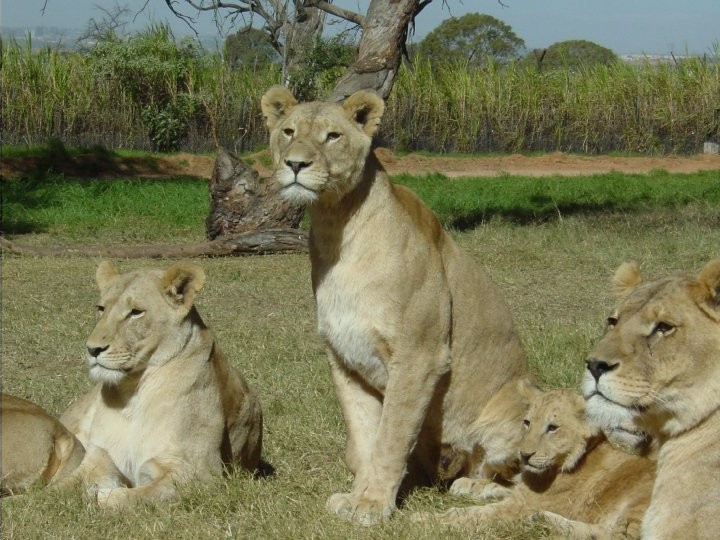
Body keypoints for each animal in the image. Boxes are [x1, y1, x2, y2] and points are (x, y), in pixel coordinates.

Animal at [57, 261, 263, 508]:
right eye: (101, 308)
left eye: (136, 312)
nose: (92, 349)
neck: (131, 394)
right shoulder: (100, 456)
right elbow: (55, 491)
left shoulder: (201, 474)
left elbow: (133, 497)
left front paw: (102, 497)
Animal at [260, 86, 529, 525]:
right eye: (288, 131)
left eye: (332, 136)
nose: (295, 163)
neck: (336, 226)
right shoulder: (345, 358)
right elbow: (363, 440)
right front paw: (356, 497)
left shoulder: (420, 356)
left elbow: (391, 436)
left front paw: (372, 505)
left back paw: (475, 487)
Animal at [417, 387, 655, 539]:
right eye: (527, 422)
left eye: (553, 428)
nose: (524, 455)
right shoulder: (521, 494)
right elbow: (500, 486)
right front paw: (467, 484)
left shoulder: (519, 507)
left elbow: (472, 514)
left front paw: (425, 520)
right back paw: (541, 521)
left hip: (639, 505)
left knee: (617, 537)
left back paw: (544, 522)